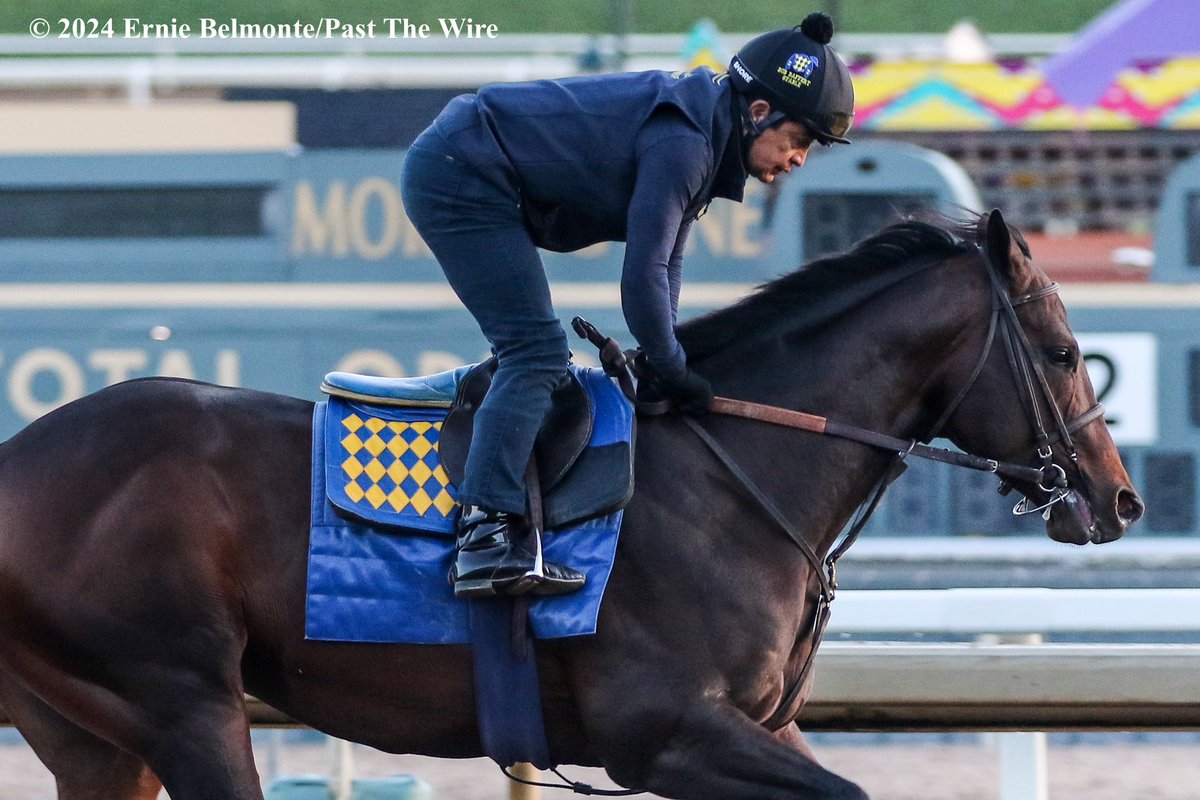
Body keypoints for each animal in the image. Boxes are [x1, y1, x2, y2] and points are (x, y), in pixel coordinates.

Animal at [0, 211, 1142, 800]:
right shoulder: (664, 730)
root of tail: (18, 458)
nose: (1117, 496)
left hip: (99, 735)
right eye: (1065, 352)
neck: (734, 470)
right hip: (184, 701)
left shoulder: (751, 728)